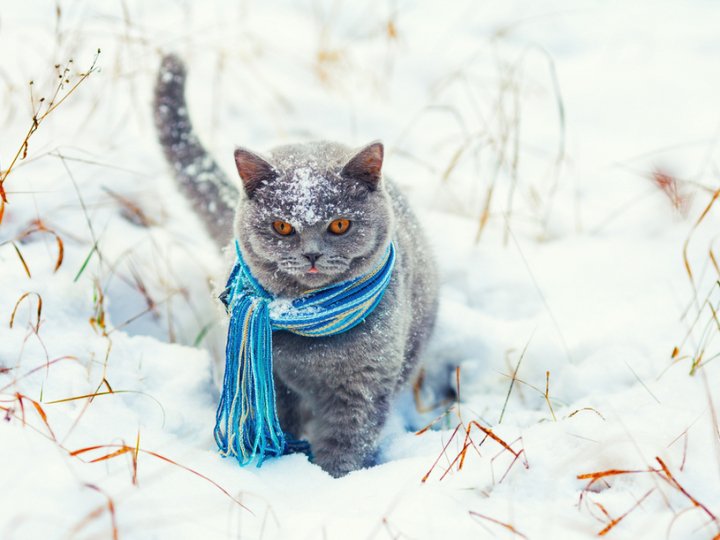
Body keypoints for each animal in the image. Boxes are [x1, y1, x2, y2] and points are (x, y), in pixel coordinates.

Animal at [153, 54, 438, 476]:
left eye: (339, 224)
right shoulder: (271, 381)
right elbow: (275, 424)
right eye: (282, 226)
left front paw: (335, 478)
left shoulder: (363, 386)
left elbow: (347, 441)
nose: (312, 254)